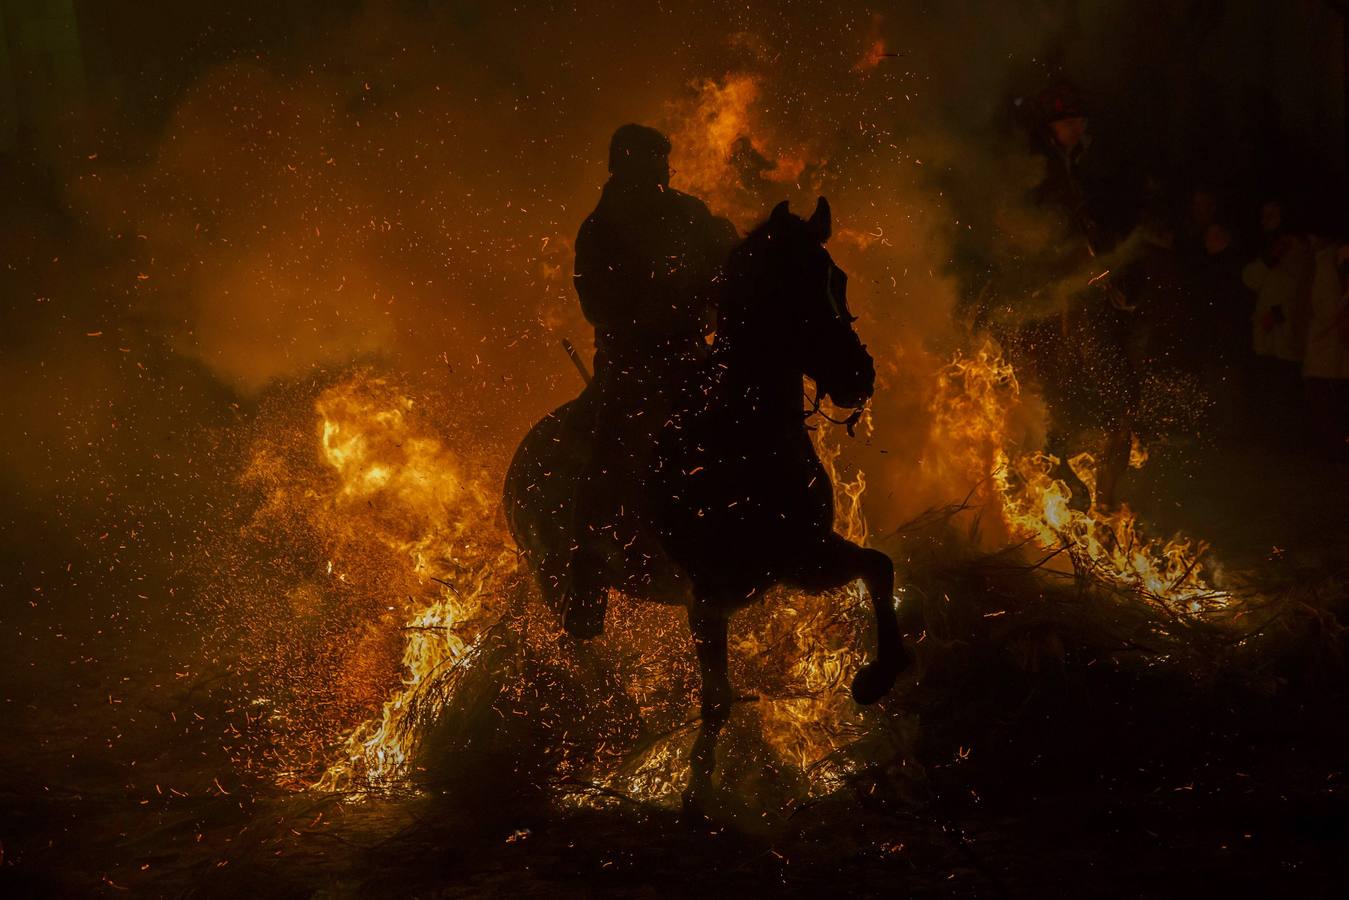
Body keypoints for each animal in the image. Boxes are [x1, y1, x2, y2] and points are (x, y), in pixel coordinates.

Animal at [501, 197, 911, 809]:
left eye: (836, 278)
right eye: (788, 283)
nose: (857, 375)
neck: (741, 439)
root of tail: (520, 462)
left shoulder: (803, 559)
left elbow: (878, 567)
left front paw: (878, 676)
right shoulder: (708, 600)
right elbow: (717, 698)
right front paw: (696, 793)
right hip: (554, 580)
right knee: (580, 649)